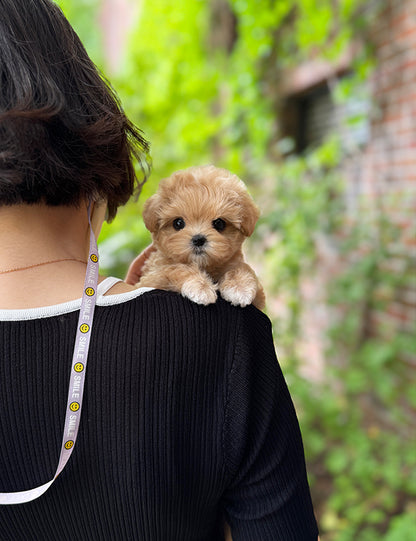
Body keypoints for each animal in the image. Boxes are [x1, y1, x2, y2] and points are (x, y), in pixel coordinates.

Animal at [136, 165, 266, 308]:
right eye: (178, 223)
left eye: (219, 223)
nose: (198, 239)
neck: (205, 266)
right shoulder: (150, 279)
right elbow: (174, 268)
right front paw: (200, 286)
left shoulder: (258, 298)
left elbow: (242, 267)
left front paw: (240, 286)